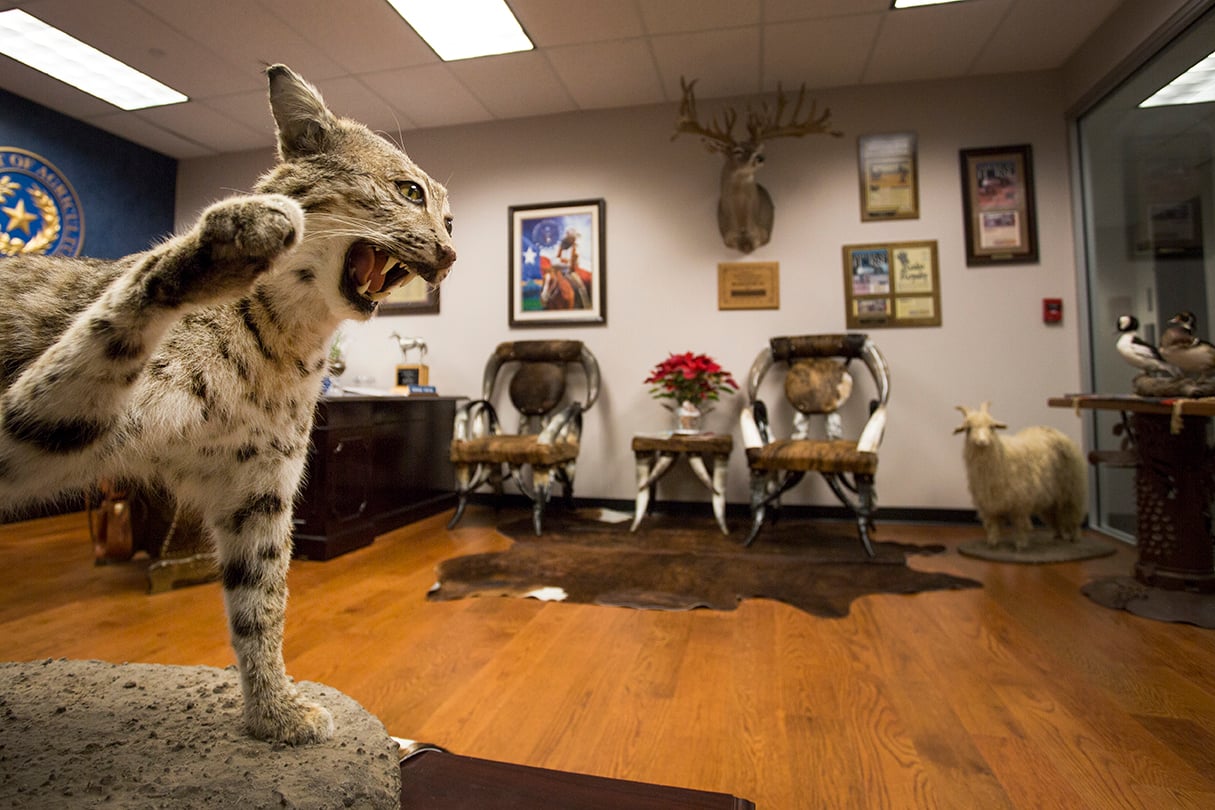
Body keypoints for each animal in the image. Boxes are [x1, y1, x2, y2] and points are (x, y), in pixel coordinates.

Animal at [0, 66, 454, 743]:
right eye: (408, 192)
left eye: (451, 222)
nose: (450, 256)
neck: (290, 340)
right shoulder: (38, 423)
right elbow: (115, 316)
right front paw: (228, 245)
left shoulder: (259, 485)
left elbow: (260, 601)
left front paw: (273, 713)